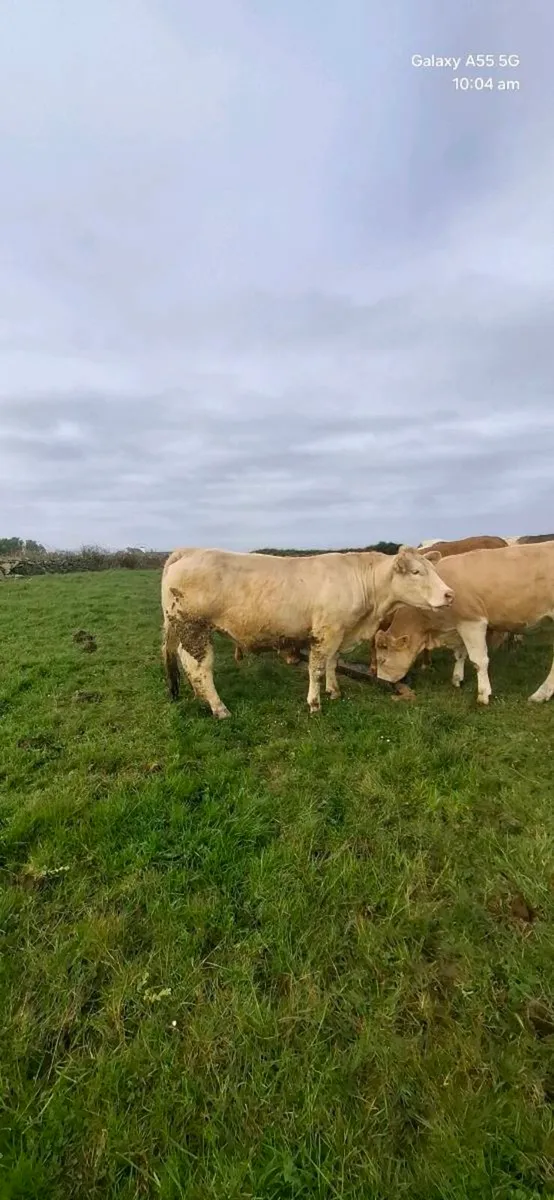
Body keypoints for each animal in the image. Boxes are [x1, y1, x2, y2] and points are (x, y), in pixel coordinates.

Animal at [161, 545, 453, 718]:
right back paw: (219, 707)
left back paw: (200, 696)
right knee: (200, 667)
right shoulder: (325, 631)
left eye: (433, 569)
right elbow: (317, 668)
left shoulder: (340, 631)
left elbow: (333, 663)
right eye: (416, 572)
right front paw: (314, 703)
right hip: (194, 627)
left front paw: (334, 691)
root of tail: (189, 550)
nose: (449, 594)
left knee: (187, 663)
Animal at [374, 541, 554, 704]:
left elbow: (479, 660)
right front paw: (457, 678)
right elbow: (460, 654)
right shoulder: (459, 625)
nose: (381, 681)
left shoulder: (473, 622)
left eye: (382, 660)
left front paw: (483, 694)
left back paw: (540, 694)